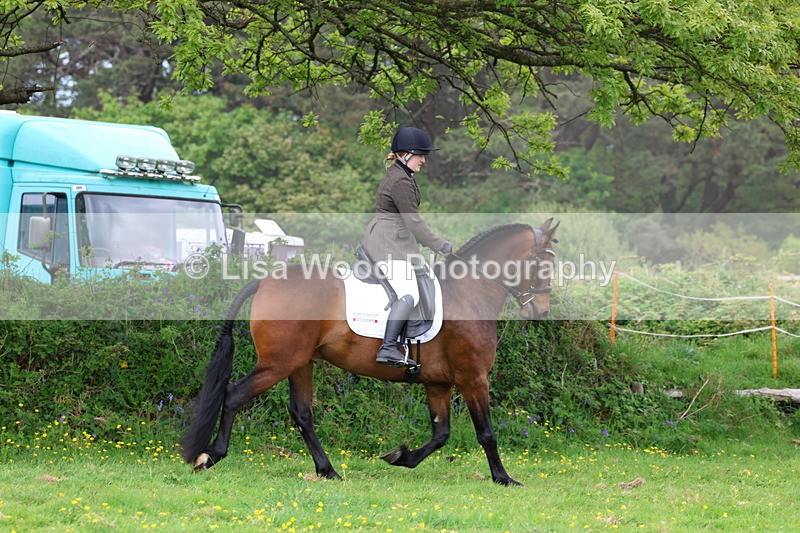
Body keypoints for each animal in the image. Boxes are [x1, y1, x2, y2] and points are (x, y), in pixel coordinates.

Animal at [180, 218, 559, 486]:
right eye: (545, 265)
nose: (540, 311)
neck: (470, 291)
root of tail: (266, 280)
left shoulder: (438, 384)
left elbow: (441, 434)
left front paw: (400, 457)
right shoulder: (474, 378)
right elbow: (487, 433)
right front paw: (504, 478)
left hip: (300, 364)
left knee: (302, 414)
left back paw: (328, 470)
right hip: (278, 363)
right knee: (234, 395)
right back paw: (210, 456)